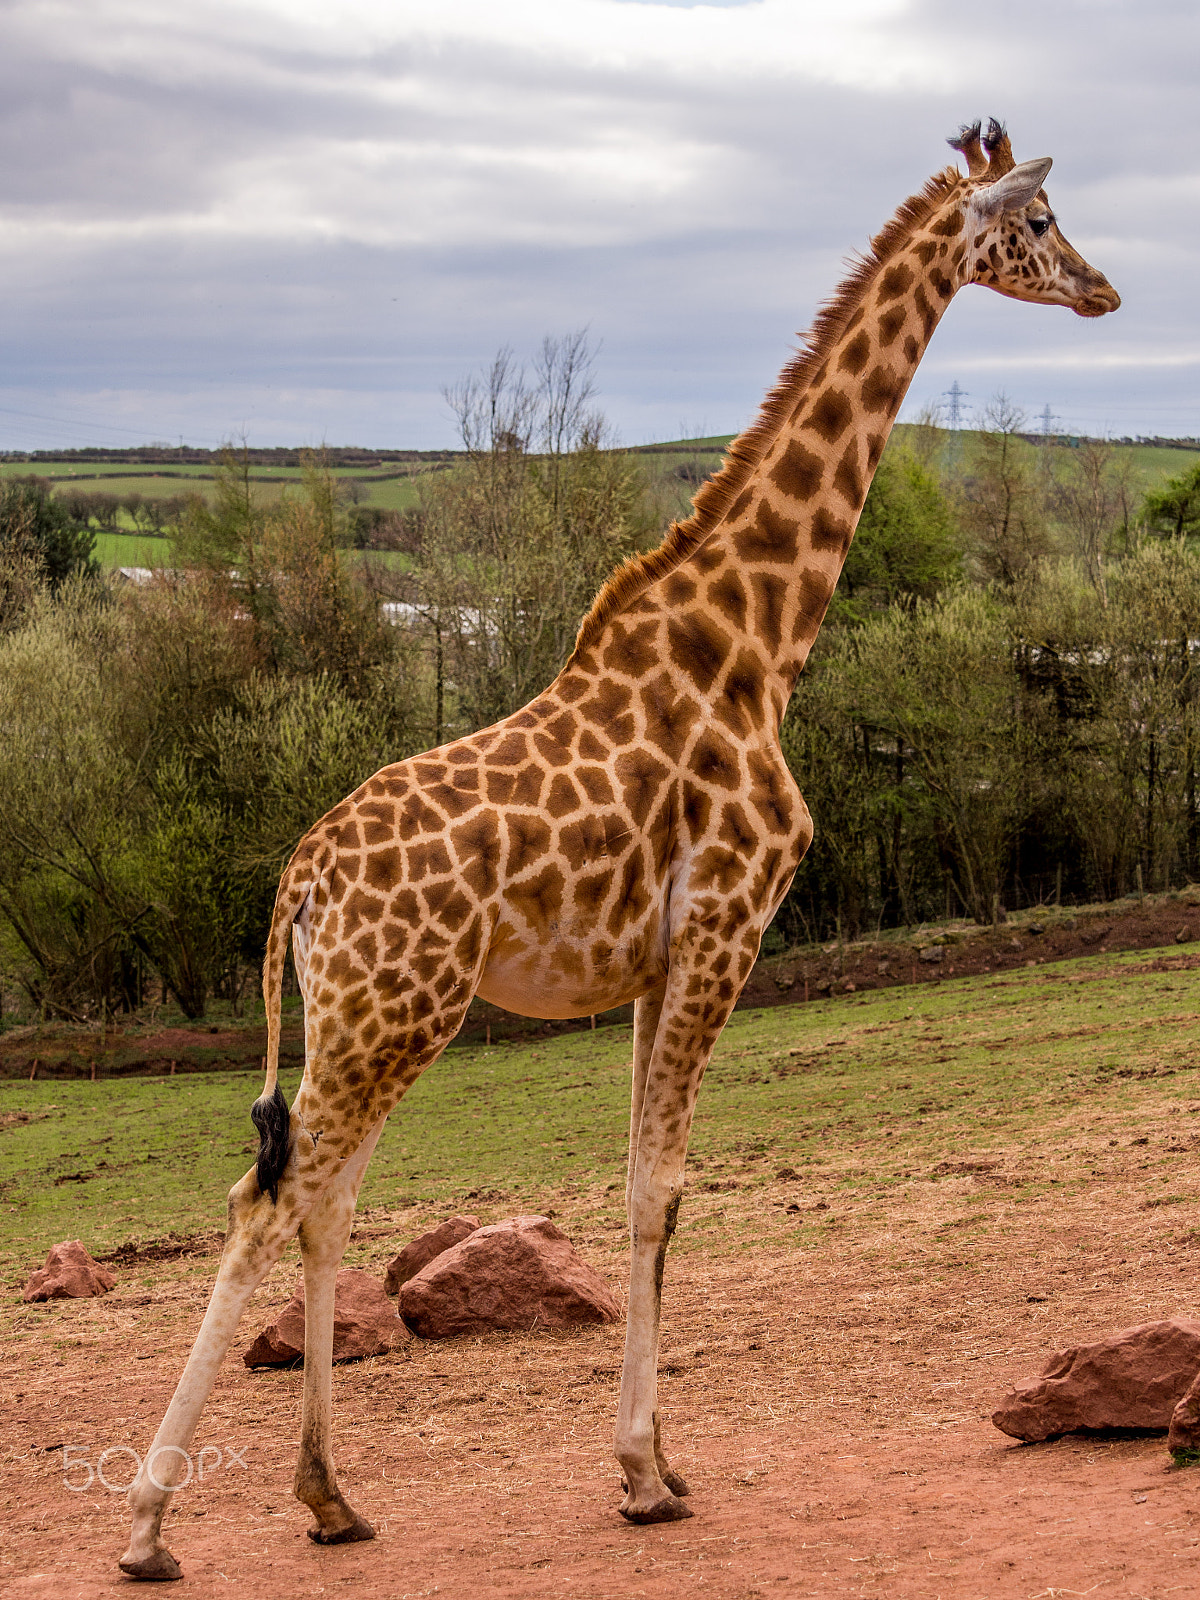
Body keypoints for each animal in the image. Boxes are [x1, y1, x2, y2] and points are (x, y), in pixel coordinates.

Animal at [117, 121, 1126, 1574]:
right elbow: (660, 1189)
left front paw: (655, 1463)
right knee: (270, 1200)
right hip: (397, 1014)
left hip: (362, 1018)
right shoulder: (724, 932)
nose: (1105, 290)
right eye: (1040, 220)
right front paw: (646, 1473)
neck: (756, 648)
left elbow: (650, 1187)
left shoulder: (661, 962)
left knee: (322, 1201)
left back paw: (331, 1497)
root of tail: (297, 886)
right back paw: (149, 1526)